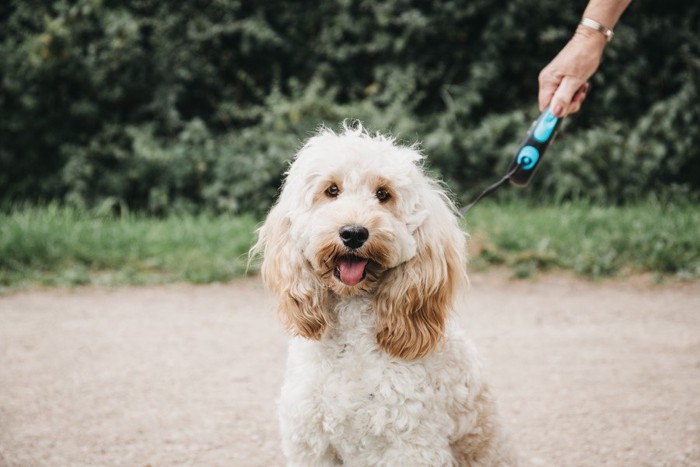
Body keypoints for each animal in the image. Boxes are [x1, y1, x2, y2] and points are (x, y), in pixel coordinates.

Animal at [252, 122, 516, 466]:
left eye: (383, 194)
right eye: (332, 190)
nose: (353, 233)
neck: (353, 339)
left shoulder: (411, 447)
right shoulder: (312, 444)